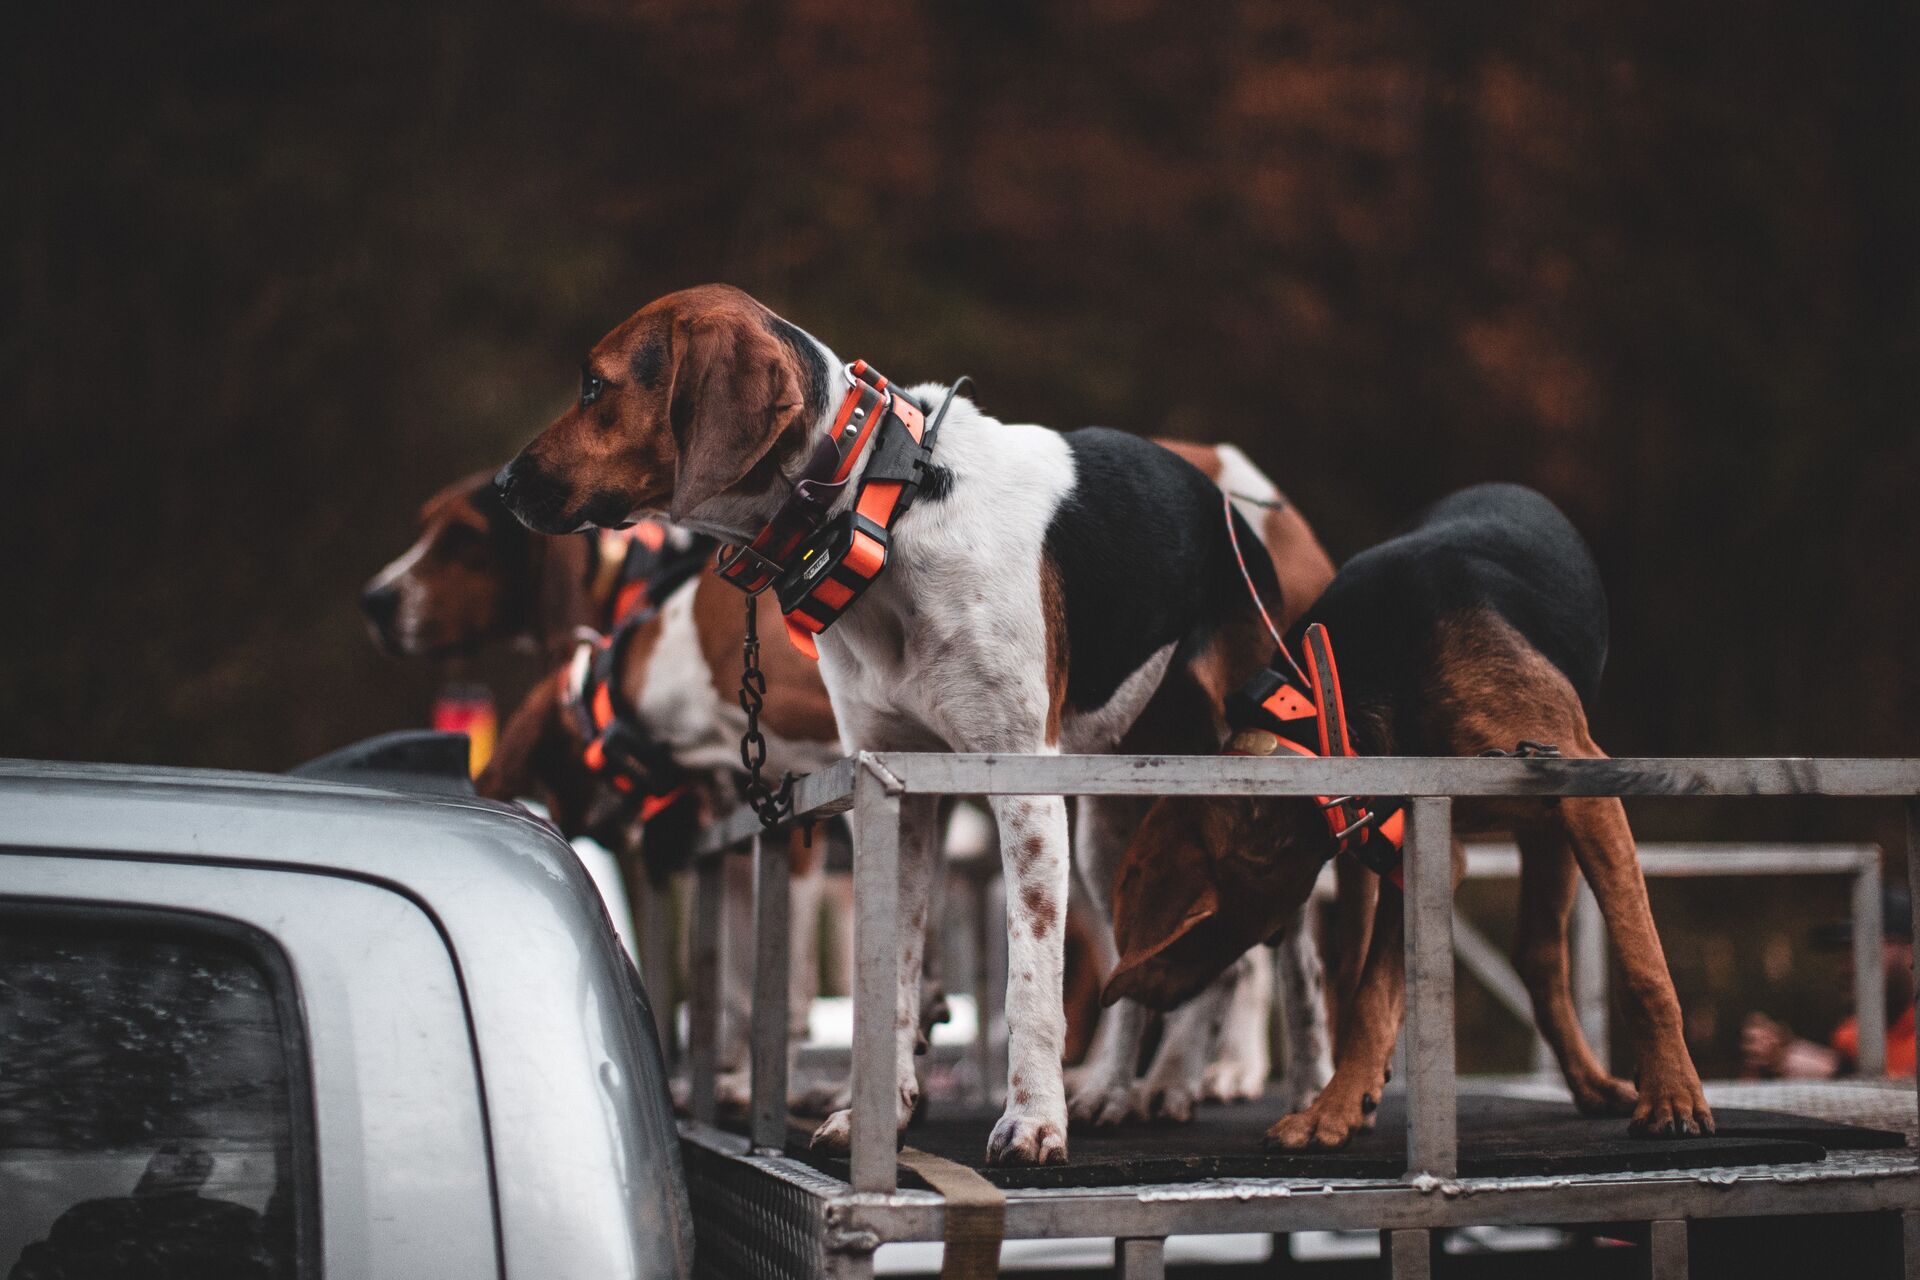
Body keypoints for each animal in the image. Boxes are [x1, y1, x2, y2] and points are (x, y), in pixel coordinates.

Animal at [1105, 483, 1720, 1151]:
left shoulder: (1587, 797)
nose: (1133, 996)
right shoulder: (1408, 846)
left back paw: (1597, 1084)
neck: (1329, 706)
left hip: (1552, 827)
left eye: (1199, 933)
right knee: (1386, 963)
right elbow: (1372, 992)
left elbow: (1643, 968)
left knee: (1540, 958)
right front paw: (1336, 1108)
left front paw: (1672, 1094)